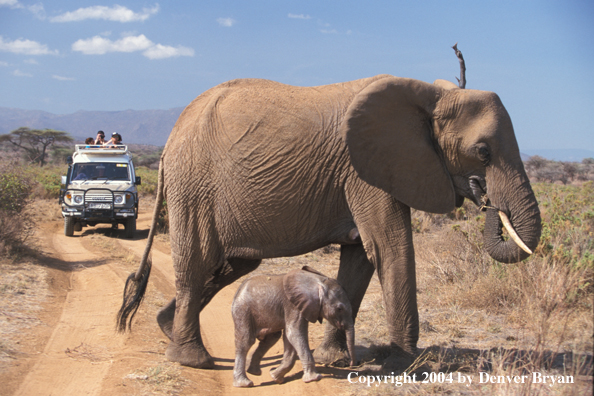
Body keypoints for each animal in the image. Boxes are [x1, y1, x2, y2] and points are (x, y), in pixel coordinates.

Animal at [117, 75, 540, 368]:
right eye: (482, 152)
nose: (484, 197)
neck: (429, 94)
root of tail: (171, 137)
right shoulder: (365, 171)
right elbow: (390, 247)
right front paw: (404, 363)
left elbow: (360, 258)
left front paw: (335, 359)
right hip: (194, 185)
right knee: (197, 262)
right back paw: (193, 360)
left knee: (232, 265)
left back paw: (166, 327)